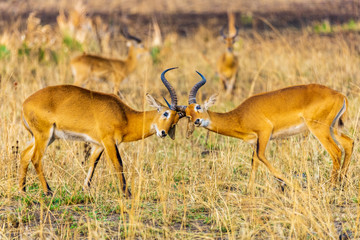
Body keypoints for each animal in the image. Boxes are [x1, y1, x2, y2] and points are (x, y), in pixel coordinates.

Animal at [19, 67, 184, 197]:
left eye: (176, 121)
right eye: (165, 113)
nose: (163, 132)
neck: (124, 115)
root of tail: (25, 103)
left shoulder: (98, 144)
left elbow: (93, 163)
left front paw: (85, 189)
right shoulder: (109, 141)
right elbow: (118, 164)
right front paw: (127, 193)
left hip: (44, 137)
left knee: (24, 154)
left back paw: (22, 190)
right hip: (44, 136)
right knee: (36, 158)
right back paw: (48, 191)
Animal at [186, 72, 354, 194]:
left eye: (198, 107)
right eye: (187, 114)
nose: (197, 121)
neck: (240, 116)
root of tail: (340, 95)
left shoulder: (264, 134)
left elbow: (262, 157)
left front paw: (290, 184)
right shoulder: (255, 141)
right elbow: (254, 162)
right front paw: (249, 190)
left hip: (320, 129)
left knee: (336, 151)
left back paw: (332, 187)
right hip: (332, 129)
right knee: (348, 143)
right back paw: (342, 183)